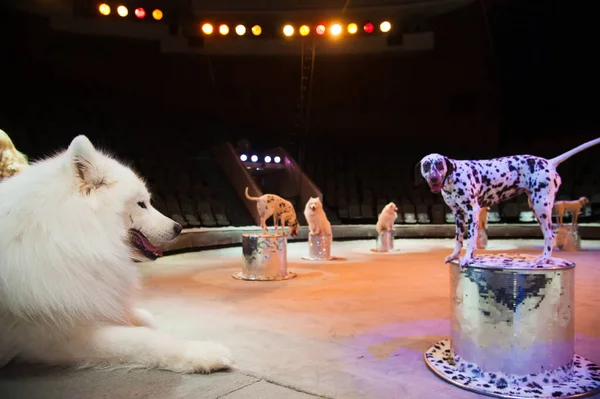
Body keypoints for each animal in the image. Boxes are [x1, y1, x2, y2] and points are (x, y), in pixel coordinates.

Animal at [0, 136, 233, 374]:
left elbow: (141, 317)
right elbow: (143, 340)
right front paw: (202, 353)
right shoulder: (54, 336)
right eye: (141, 204)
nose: (178, 227)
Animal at [420, 138, 600, 266]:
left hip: (541, 208)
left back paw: (544, 259)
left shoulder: (473, 212)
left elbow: (470, 239)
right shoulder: (458, 215)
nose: (434, 178)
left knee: (550, 234)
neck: (453, 176)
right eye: (426, 166)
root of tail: (549, 162)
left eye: (439, 164)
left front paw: (468, 257)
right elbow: (458, 240)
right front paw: (455, 256)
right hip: (536, 208)